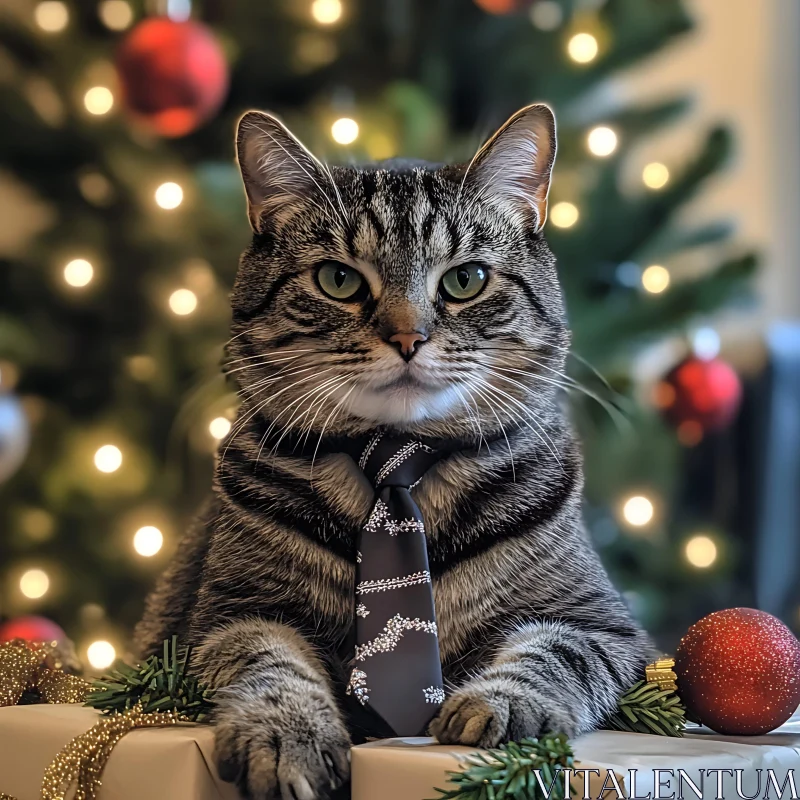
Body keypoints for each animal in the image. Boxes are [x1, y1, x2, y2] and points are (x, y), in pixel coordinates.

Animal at [134, 106, 652, 800]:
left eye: (465, 280)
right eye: (338, 280)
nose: (409, 337)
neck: (397, 466)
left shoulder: (601, 624)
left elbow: (552, 655)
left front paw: (498, 705)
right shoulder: (228, 615)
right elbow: (266, 665)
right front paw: (288, 737)